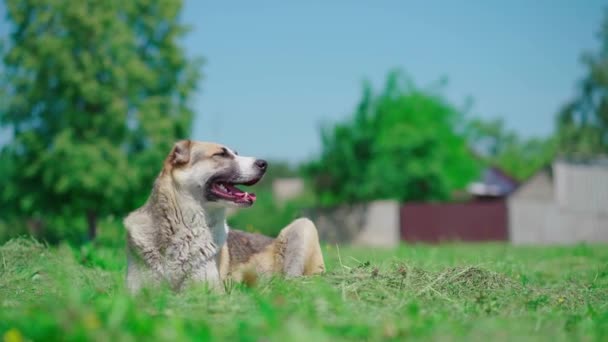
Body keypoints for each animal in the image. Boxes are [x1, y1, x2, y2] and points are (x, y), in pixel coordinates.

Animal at [123, 140, 328, 292]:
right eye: (220, 155)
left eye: (236, 153)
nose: (264, 163)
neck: (183, 228)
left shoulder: (208, 290)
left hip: (304, 226)